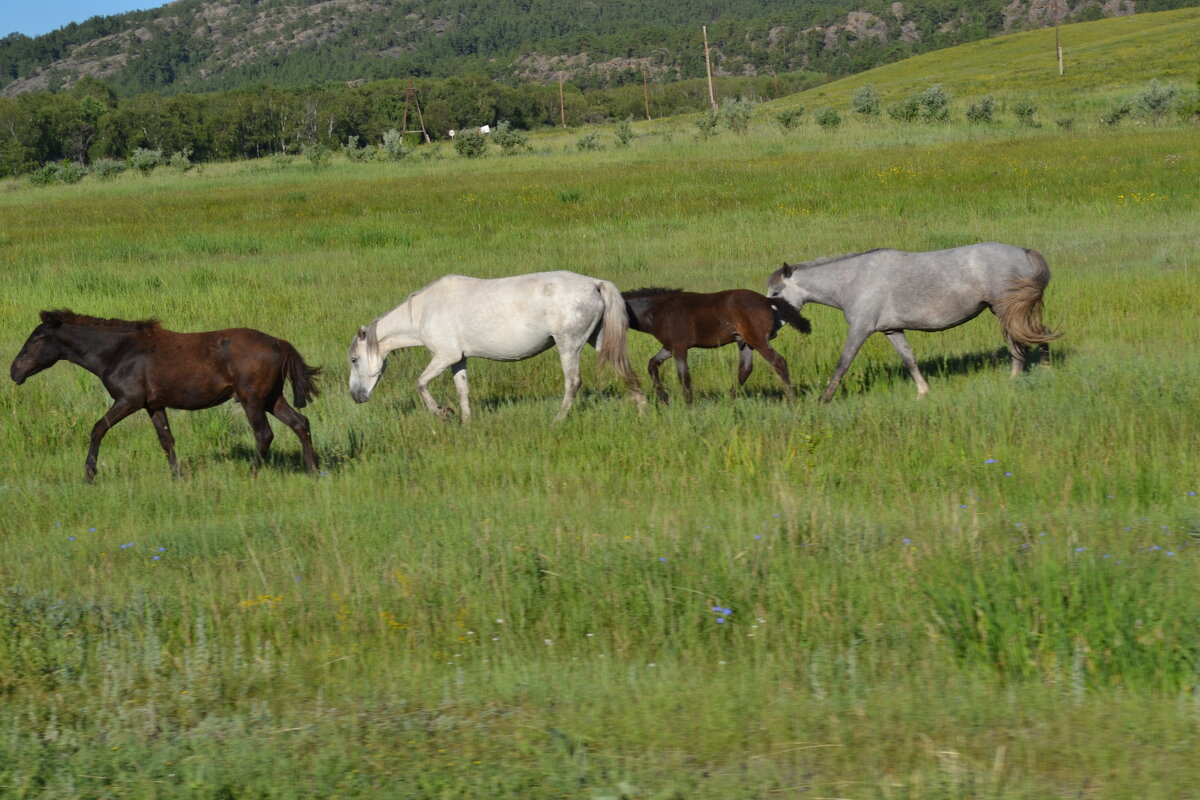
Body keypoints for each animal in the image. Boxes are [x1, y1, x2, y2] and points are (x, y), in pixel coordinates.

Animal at [11, 309, 321, 482]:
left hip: (252, 399)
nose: (15, 371)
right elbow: (166, 440)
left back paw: (253, 473)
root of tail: (279, 343)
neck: (120, 352)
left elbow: (98, 428)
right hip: (271, 398)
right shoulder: (154, 405)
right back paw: (313, 470)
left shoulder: (129, 401)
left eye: (37, 338)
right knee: (300, 423)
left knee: (264, 434)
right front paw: (177, 477)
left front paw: (89, 474)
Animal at [348, 271, 648, 422]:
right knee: (624, 369)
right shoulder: (458, 359)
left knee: (572, 383)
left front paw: (443, 412)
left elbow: (420, 384)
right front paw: (466, 423)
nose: (356, 396)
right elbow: (463, 391)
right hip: (598, 339)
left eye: (353, 360)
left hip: (569, 345)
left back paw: (558, 420)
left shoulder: (444, 356)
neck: (424, 311)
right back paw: (642, 409)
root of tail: (595, 284)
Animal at [624, 287, 811, 402]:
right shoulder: (669, 348)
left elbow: (684, 377)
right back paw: (729, 398)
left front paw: (688, 406)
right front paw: (663, 397)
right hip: (745, 343)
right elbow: (652, 364)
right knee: (745, 369)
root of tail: (766, 300)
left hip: (758, 341)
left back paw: (792, 400)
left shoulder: (679, 347)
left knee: (778, 362)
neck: (658, 310)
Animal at [768, 239, 1060, 398]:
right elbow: (909, 360)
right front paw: (923, 392)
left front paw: (824, 399)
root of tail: (1023, 252)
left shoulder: (860, 329)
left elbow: (842, 364)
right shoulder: (892, 331)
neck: (853, 280)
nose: (770, 330)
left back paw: (1021, 377)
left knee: (1021, 344)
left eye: (775, 293)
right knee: (1037, 334)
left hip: (1005, 310)